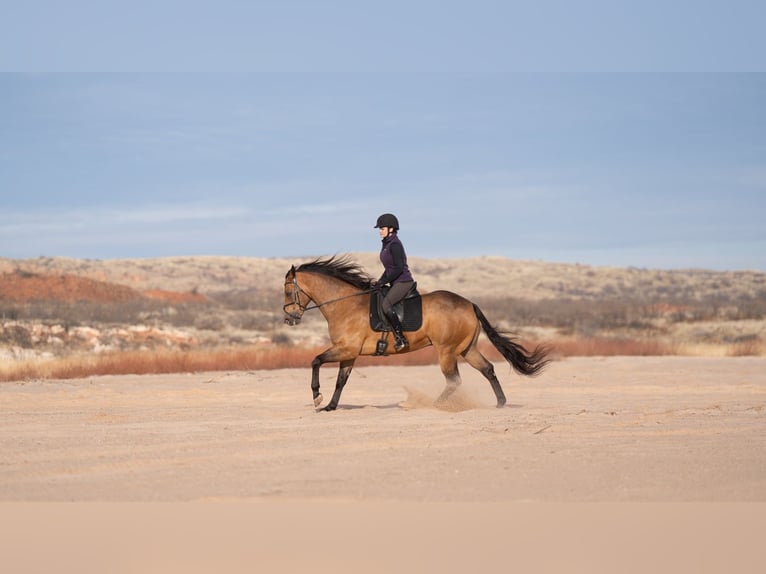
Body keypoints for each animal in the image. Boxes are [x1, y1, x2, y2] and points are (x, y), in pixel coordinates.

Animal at [284, 258, 552, 414]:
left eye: (288, 291)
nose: (289, 319)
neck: (344, 304)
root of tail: (469, 304)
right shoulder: (349, 353)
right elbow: (341, 380)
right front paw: (330, 406)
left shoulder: (346, 348)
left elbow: (316, 361)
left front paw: (317, 397)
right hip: (467, 349)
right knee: (487, 369)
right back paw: (500, 403)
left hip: (446, 351)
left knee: (454, 380)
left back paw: (431, 405)